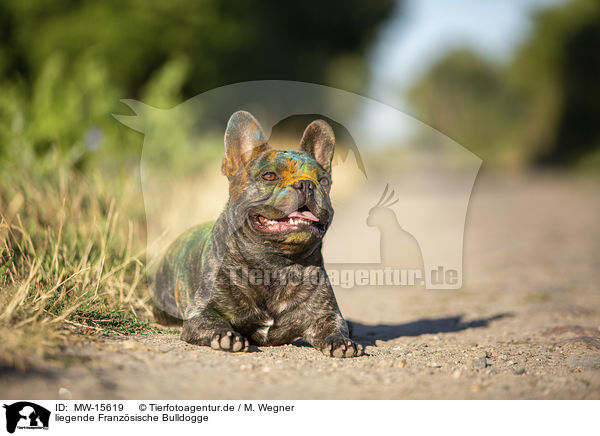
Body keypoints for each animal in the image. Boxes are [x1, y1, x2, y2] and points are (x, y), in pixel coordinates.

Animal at [155, 110, 360, 358]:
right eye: (269, 176)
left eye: (324, 181)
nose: (306, 184)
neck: (273, 263)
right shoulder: (200, 313)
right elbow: (213, 321)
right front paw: (226, 336)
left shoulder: (326, 314)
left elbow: (334, 326)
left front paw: (341, 341)